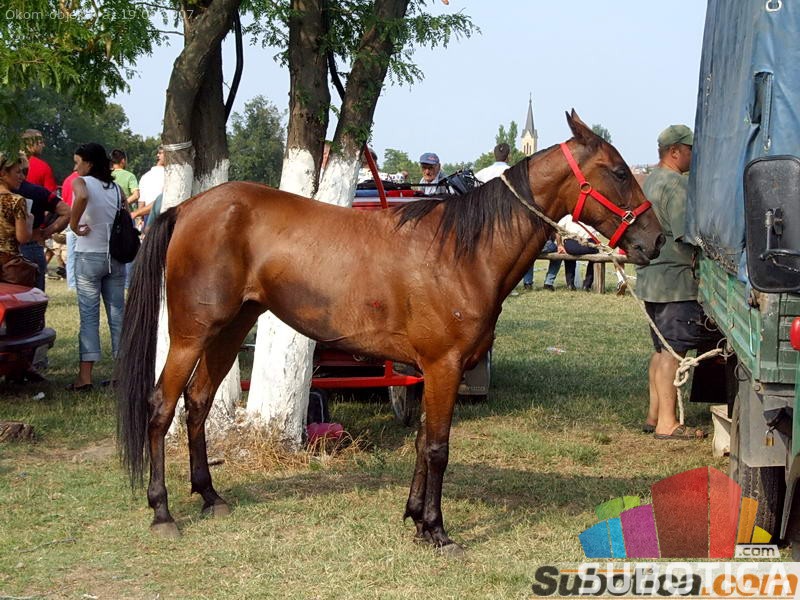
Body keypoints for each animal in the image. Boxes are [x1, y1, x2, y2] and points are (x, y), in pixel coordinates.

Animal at [116, 111, 664, 552]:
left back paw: (210, 496)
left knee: (198, 403)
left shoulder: (430, 373)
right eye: (619, 172)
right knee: (161, 407)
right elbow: (438, 448)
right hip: (191, 334)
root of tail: (188, 207)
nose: (656, 240)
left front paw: (416, 519)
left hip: (230, 329)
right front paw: (437, 531)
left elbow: (423, 441)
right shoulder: (443, 366)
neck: (462, 252)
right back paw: (162, 511)